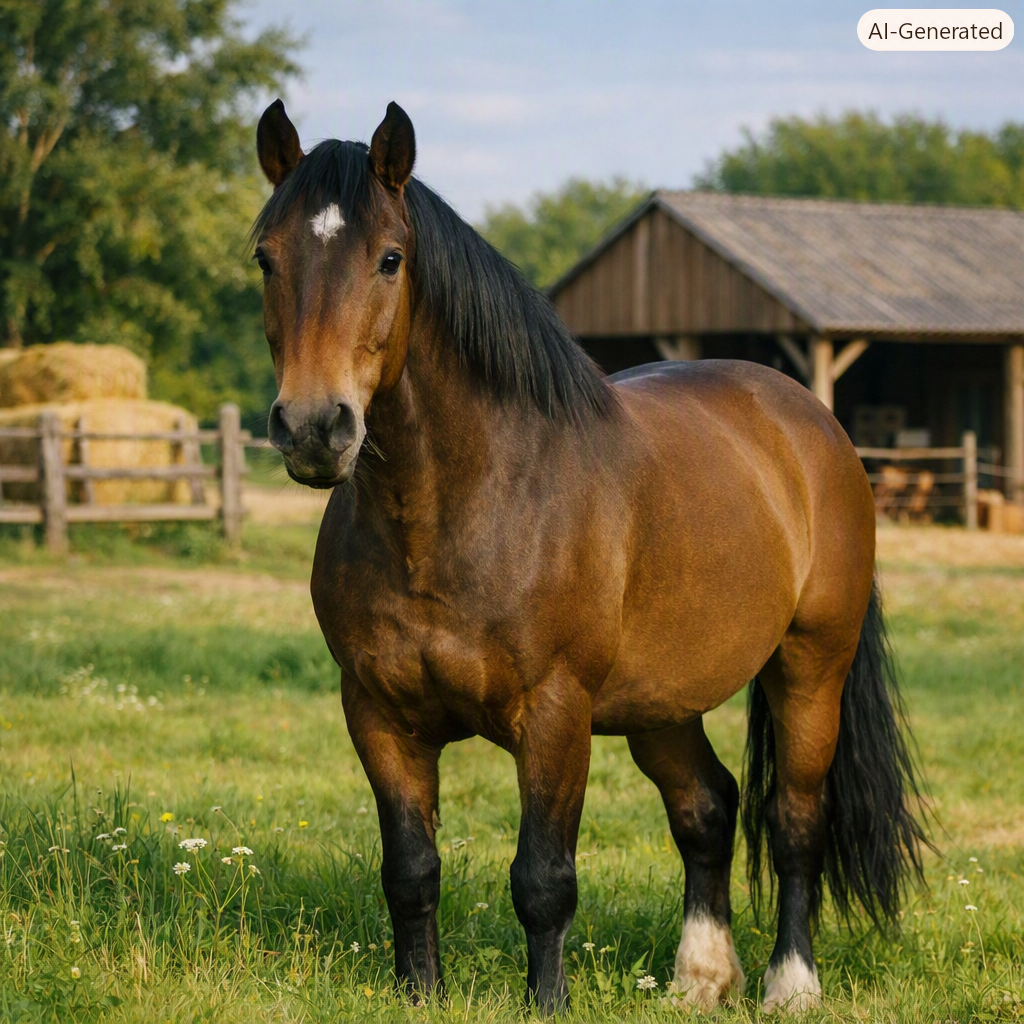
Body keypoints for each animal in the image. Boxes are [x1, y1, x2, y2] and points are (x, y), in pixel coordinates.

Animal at [251, 98, 927, 1013]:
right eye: (266, 256)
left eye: (390, 259)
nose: (317, 428)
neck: (461, 508)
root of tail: (812, 423)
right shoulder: (378, 714)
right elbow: (411, 870)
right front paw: (420, 994)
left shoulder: (555, 715)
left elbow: (543, 880)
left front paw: (548, 1003)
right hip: (662, 700)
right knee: (707, 808)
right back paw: (699, 980)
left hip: (810, 665)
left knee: (793, 819)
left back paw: (790, 985)